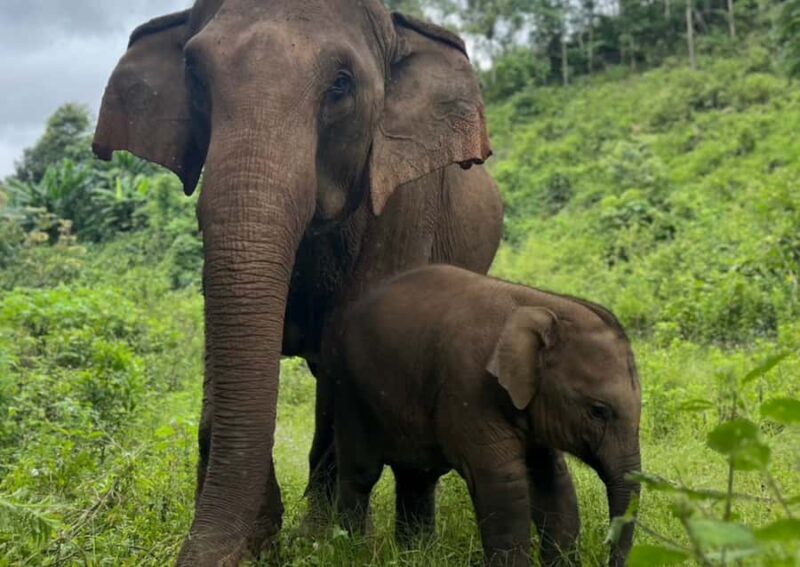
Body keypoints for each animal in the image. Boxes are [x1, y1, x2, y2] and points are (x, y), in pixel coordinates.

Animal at [92, 1, 503, 564]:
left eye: (341, 85)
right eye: (194, 75)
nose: (250, 541)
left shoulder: (403, 209)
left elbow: (344, 355)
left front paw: (323, 542)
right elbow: (220, 346)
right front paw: (259, 540)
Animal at [330, 265, 641, 567]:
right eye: (598, 411)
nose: (607, 557)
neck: (543, 306)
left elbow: (552, 478)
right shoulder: (469, 386)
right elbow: (502, 480)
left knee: (417, 477)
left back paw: (416, 556)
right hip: (349, 387)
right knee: (362, 473)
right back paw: (353, 552)